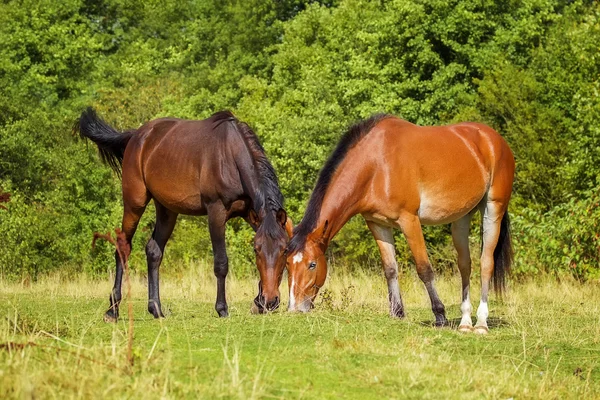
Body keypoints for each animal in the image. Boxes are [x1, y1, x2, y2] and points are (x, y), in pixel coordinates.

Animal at [75, 108, 292, 320]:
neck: (231, 156)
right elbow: (221, 262)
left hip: (167, 210)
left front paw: (258, 302)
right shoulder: (216, 213)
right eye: (256, 250)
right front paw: (222, 309)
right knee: (123, 246)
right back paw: (113, 310)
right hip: (134, 203)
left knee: (153, 251)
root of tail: (136, 136)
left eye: (284, 250)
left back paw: (156, 309)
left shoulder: (252, 214)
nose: (271, 300)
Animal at [286, 114, 516, 332]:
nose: (294, 308)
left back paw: (481, 323)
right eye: (287, 264)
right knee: (465, 265)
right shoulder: (377, 224)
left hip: (493, 209)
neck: (376, 166)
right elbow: (390, 269)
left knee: (486, 262)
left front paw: (440, 315)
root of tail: (494, 139)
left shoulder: (409, 220)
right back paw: (465, 322)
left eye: (312, 264)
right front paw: (397, 312)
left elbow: (424, 269)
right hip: (462, 217)